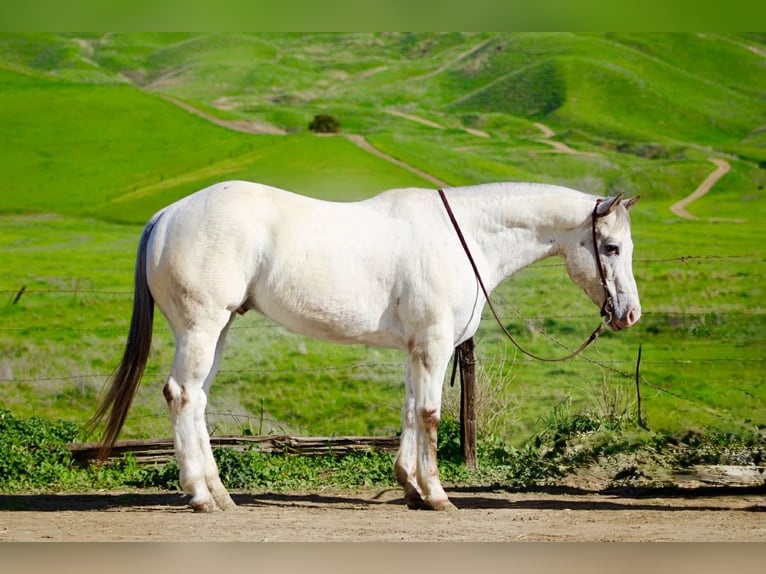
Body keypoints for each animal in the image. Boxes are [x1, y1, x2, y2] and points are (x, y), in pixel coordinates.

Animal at [92, 180, 641, 512]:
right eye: (611, 248)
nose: (630, 313)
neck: (464, 238)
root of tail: (166, 215)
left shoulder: (418, 348)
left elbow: (410, 411)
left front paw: (410, 488)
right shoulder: (434, 343)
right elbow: (430, 416)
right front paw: (437, 495)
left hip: (219, 327)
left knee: (198, 400)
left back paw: (219, 492)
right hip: (200, 326)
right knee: (182, 396)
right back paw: (201, 496)